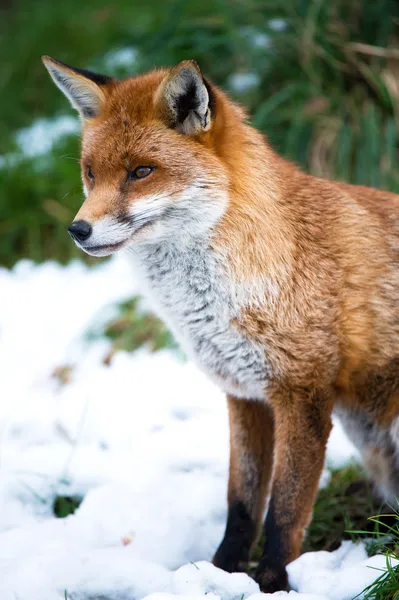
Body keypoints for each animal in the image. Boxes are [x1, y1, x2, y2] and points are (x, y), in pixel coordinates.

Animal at [42, 55, 398, 592]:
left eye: (141, 172)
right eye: (90, 173)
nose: (77, 230)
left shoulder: (303, 393)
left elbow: (285, 510)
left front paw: (271, 583)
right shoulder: (243, 393)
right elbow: (242, 503)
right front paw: (221, 572)